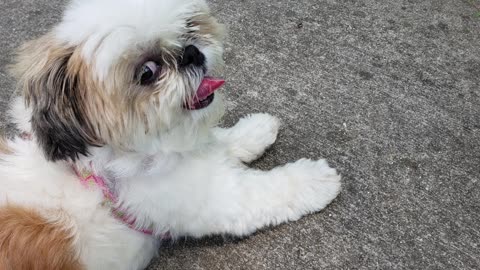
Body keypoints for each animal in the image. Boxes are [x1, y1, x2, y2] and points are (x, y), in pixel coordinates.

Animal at [1, 0, 344, 268]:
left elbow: (220, 141)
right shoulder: (212, 197)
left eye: (188, 28)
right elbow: (266, 191)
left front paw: (254, 130)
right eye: (147, 73)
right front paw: (315, 180)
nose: (190, 53)